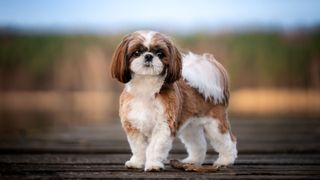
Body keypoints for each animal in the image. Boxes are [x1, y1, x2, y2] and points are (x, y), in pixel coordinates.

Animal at [111, 30, 236, 171]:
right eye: (137, 52)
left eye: (160, 54)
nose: (148, 56)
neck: (146, 88)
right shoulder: (133, 126)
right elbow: (138, 148)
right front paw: (137, 162)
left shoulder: (163, 125)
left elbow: (154, 148)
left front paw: (153, 165)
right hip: (191, 127)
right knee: (198, 145)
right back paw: (192, 161)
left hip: (216, 125)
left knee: (228, 142)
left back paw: (225, 161)